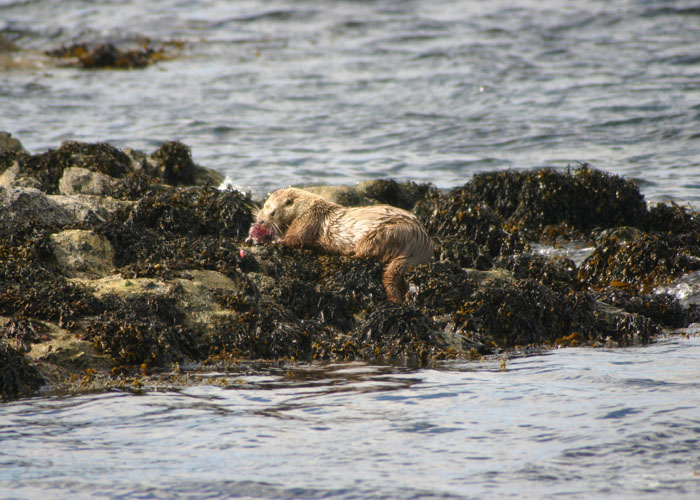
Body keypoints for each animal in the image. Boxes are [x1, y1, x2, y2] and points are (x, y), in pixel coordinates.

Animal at [246, 187, 434, 303]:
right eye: (264, 206)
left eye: (273, 212)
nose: (260, 220)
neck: (308, 208)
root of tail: (421, 241)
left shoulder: (308, 221)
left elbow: (292, 239)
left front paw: (269, 240)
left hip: (386, 233)